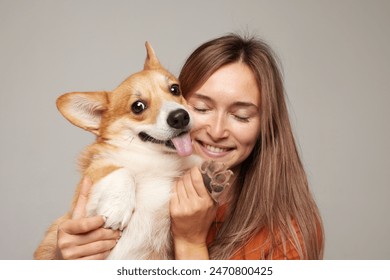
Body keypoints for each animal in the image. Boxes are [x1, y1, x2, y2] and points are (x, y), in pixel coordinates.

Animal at [34, 42, 232, 260]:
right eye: (138, 106)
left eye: (175, 89)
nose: (180, 117)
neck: (155, 159)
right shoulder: (88, 194)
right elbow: (123, 170)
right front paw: (118, 208)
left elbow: (197, 163)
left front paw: (210, 176)